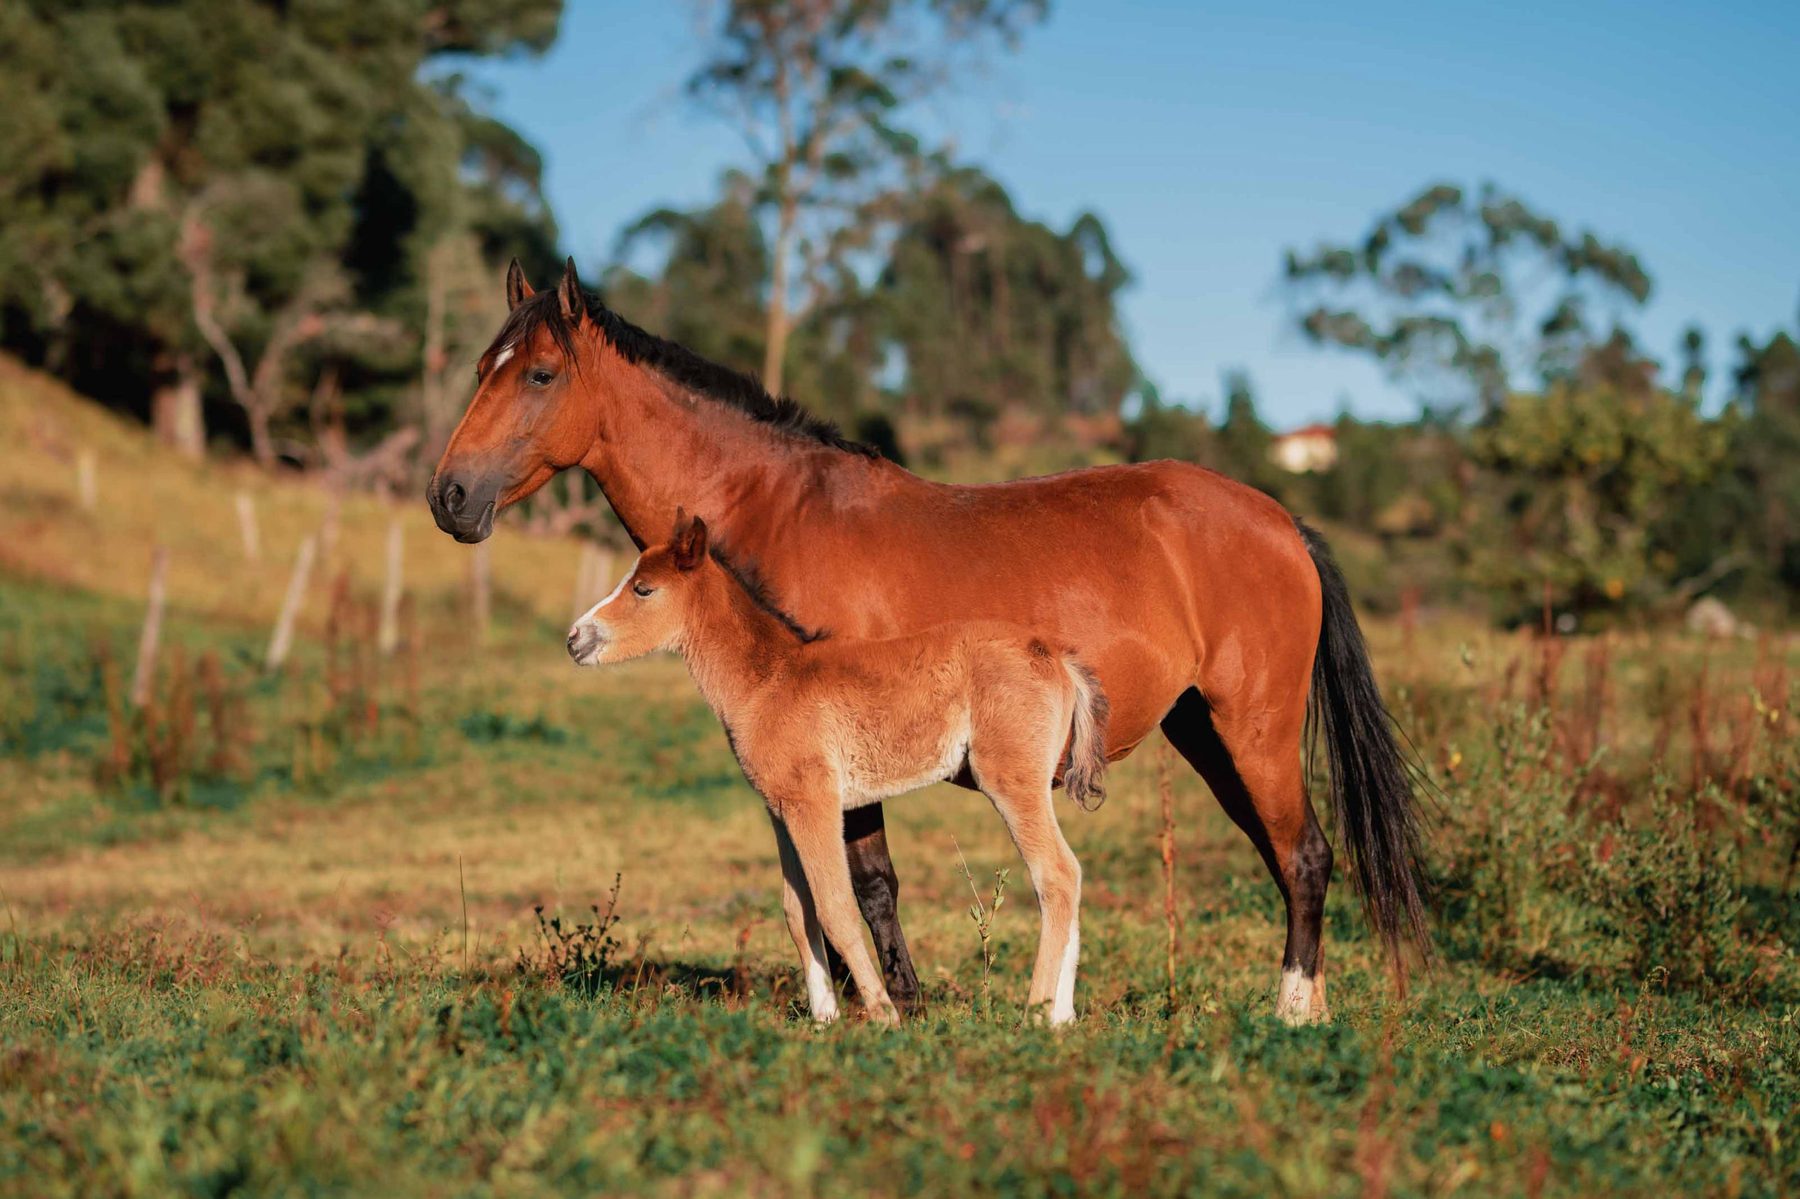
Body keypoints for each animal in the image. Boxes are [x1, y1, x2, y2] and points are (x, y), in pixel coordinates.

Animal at [566, 513, 1110, 1025]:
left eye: (643, 588)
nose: (574, 639)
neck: (768, 681)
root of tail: (1057, 658)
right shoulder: (780, 809)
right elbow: (798, 910)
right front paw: (824, 1019)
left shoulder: (816, 803)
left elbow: (835, 907)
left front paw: (884, 1015)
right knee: (1071, 874)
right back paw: (1062, 1017)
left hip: (1011, 779)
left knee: (1057, 874)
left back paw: (1038, 1012)